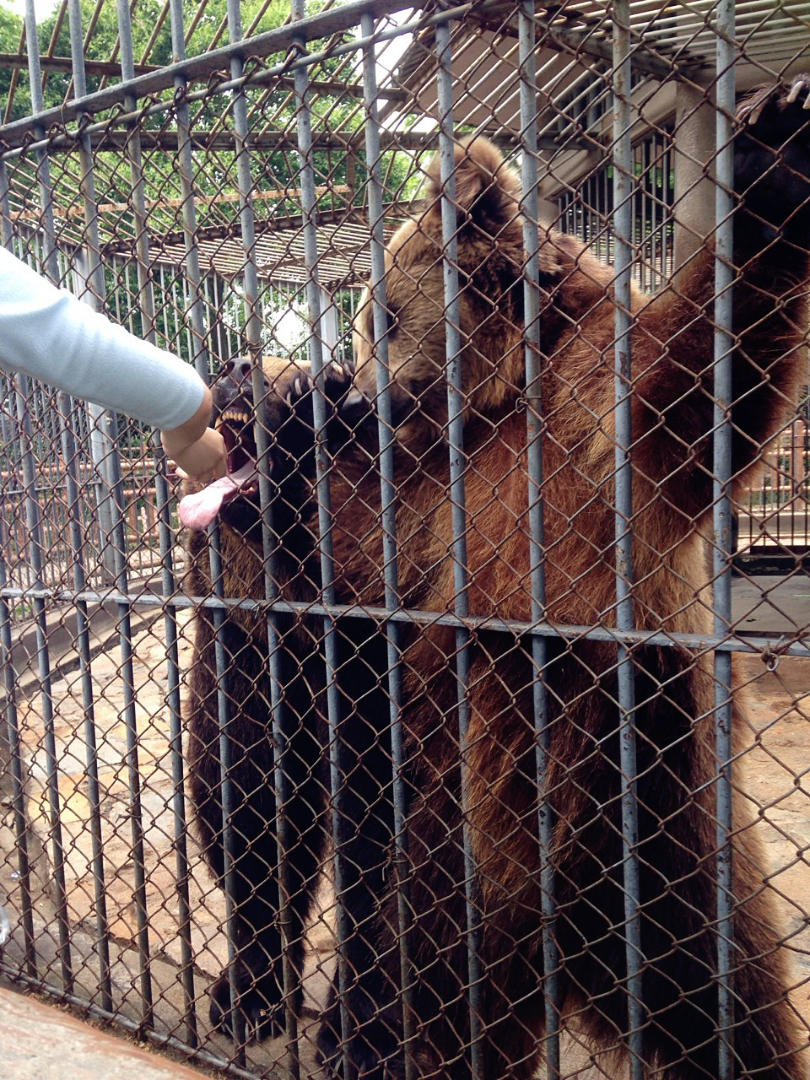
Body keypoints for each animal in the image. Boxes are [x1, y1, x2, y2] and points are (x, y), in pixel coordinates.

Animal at [182, 78, 810, 1080]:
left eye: (380, 316)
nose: (345, 388)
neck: (498, 402)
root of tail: (582, 955)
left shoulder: (583, 437)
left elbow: (686, 389)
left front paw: (775, 165)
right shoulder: (413, 521)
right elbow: (251, 810)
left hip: (660, 806)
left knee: (725, 988)